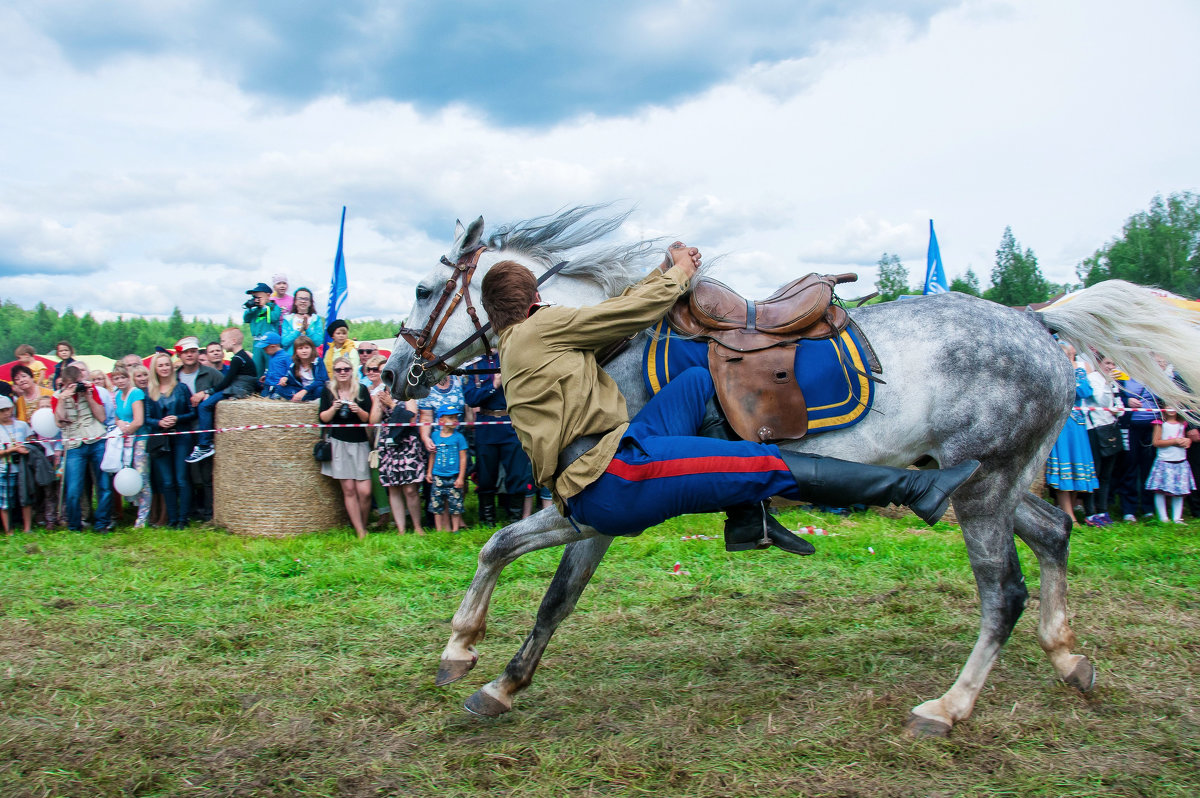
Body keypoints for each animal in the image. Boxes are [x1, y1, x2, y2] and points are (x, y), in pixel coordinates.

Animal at [381, 205, 1200, 734]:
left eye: (423, 290)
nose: (392, 375)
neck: (598, 345)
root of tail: (1038, 321)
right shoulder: (594, 509)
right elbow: (539, 583)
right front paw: (494, 674)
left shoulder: (596, 507)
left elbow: (513, 560)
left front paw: (467, 653)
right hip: (989, 486)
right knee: (1055, 534)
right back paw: (1067, 658)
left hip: (984, 495)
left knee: (1004, 595)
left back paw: (950, 707)